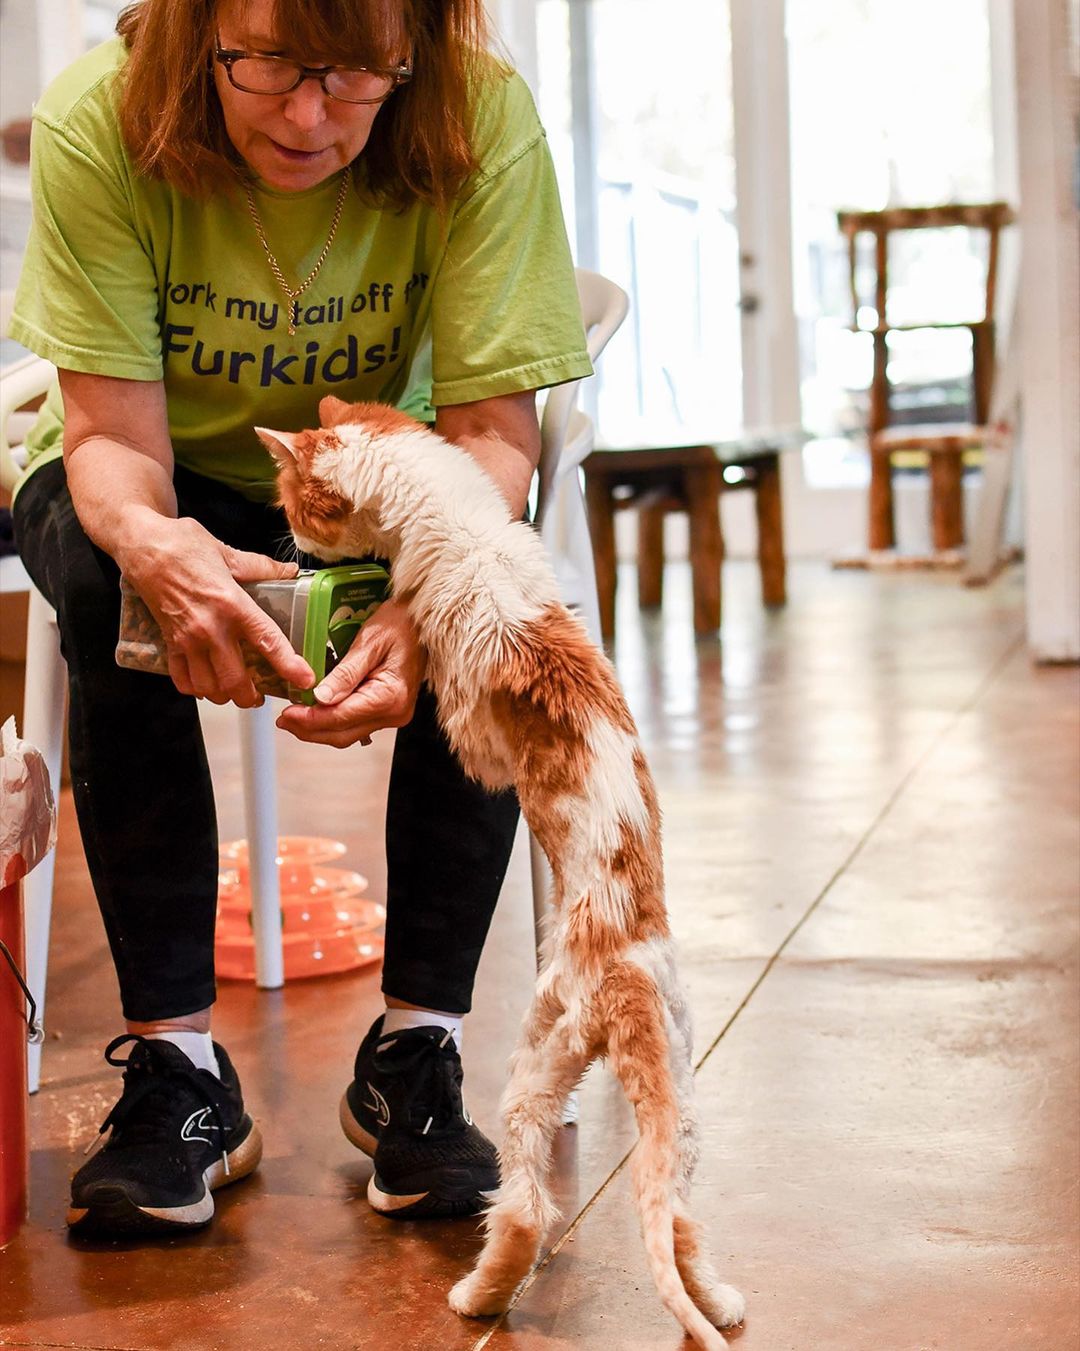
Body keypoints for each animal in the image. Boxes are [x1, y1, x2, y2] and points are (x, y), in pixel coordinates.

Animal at [258, 394, 746, 1345]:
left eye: (297, 505)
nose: (291, 541)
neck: (460, 521)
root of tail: (625, 975)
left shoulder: (475, 735)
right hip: (683, 1095)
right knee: (677, 1214)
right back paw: (720, 1301)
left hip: (536, 1065)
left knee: (524, 1209)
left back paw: (478, 1297)